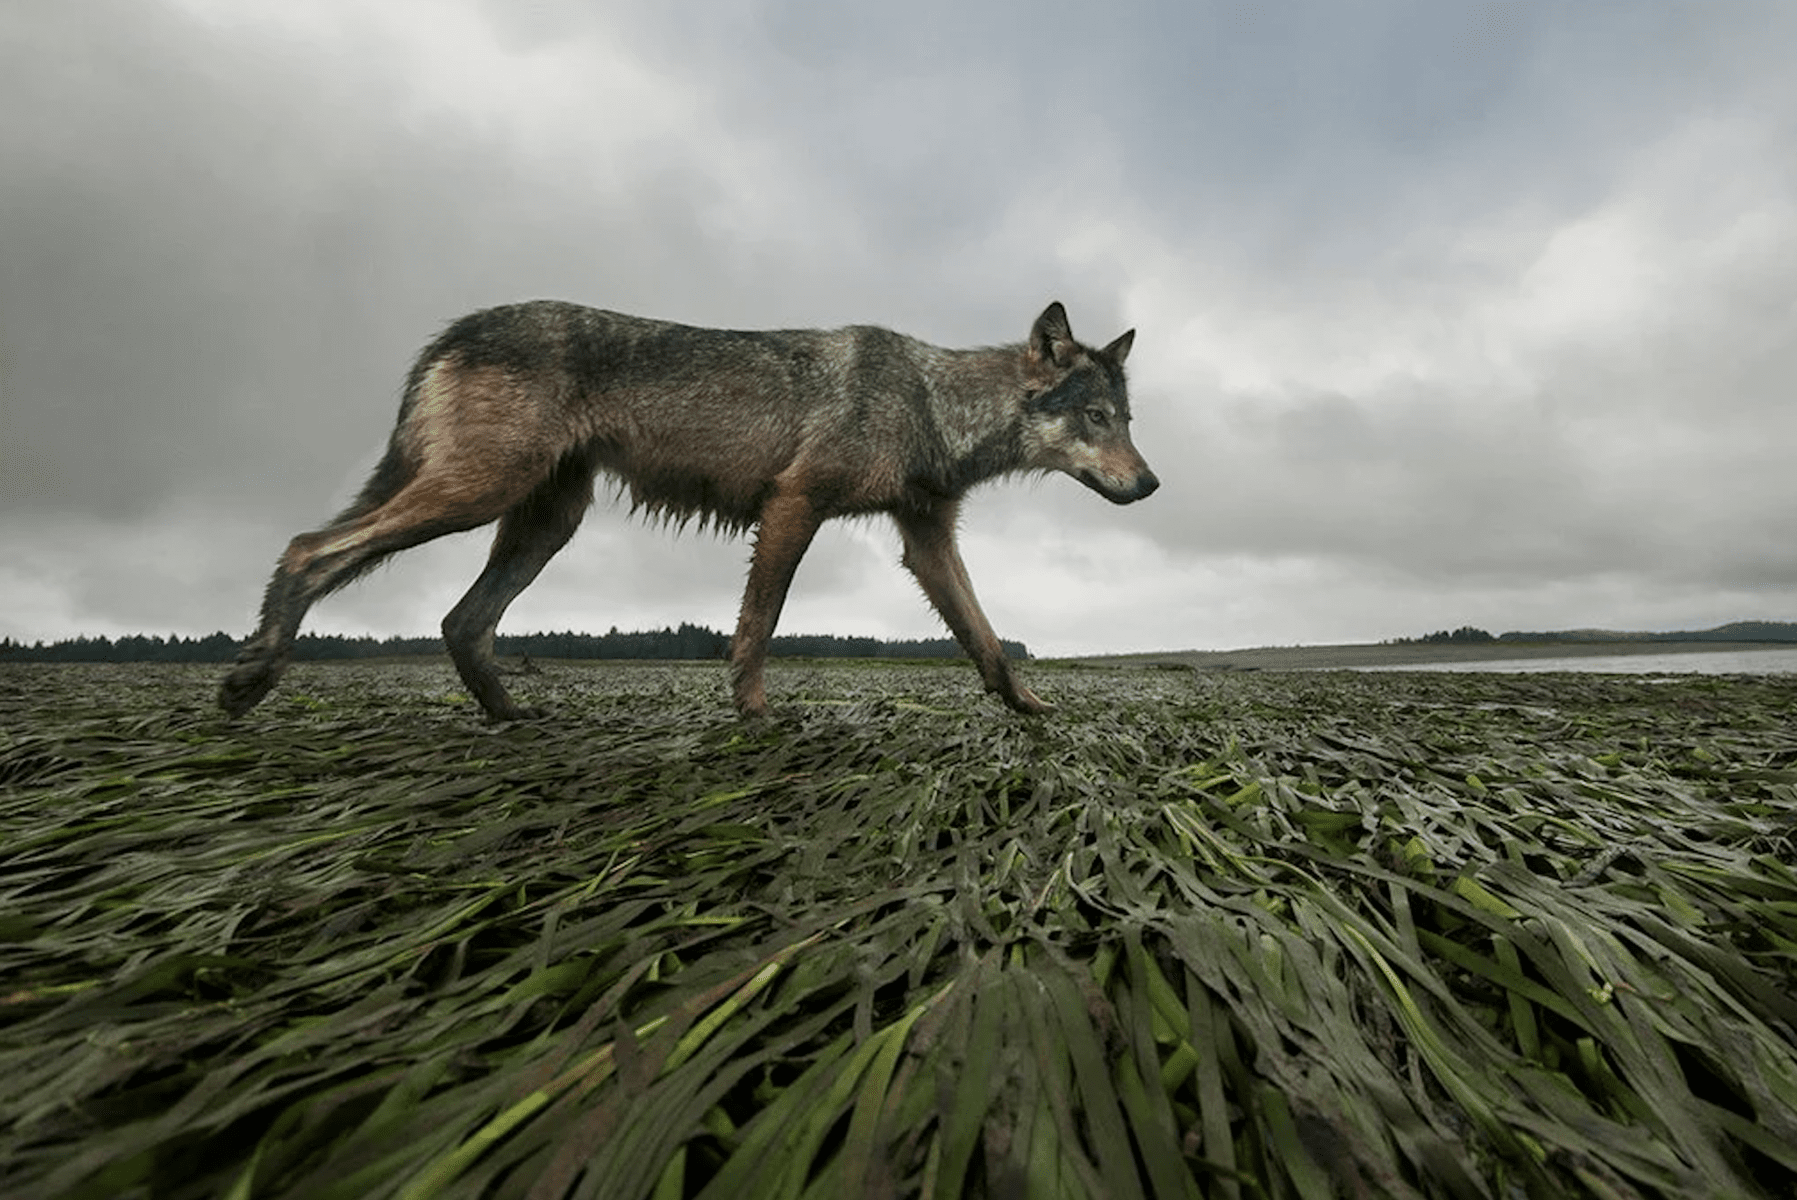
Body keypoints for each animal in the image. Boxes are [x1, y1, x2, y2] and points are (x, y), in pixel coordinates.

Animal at [213, 298, 1164, 722]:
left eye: (1125, 421)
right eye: (1094, 419)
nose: (1152, 485)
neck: (930, 403)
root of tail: (452, 328)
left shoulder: (926, 541)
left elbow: (985, 637)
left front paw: (1031, 709)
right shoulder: (792, 506)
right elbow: (759, 624)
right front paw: (754, 716)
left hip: (542, 523)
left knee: (459, 620)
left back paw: (512, 718)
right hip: (474, 498)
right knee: (307, 548)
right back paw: (251, 677)